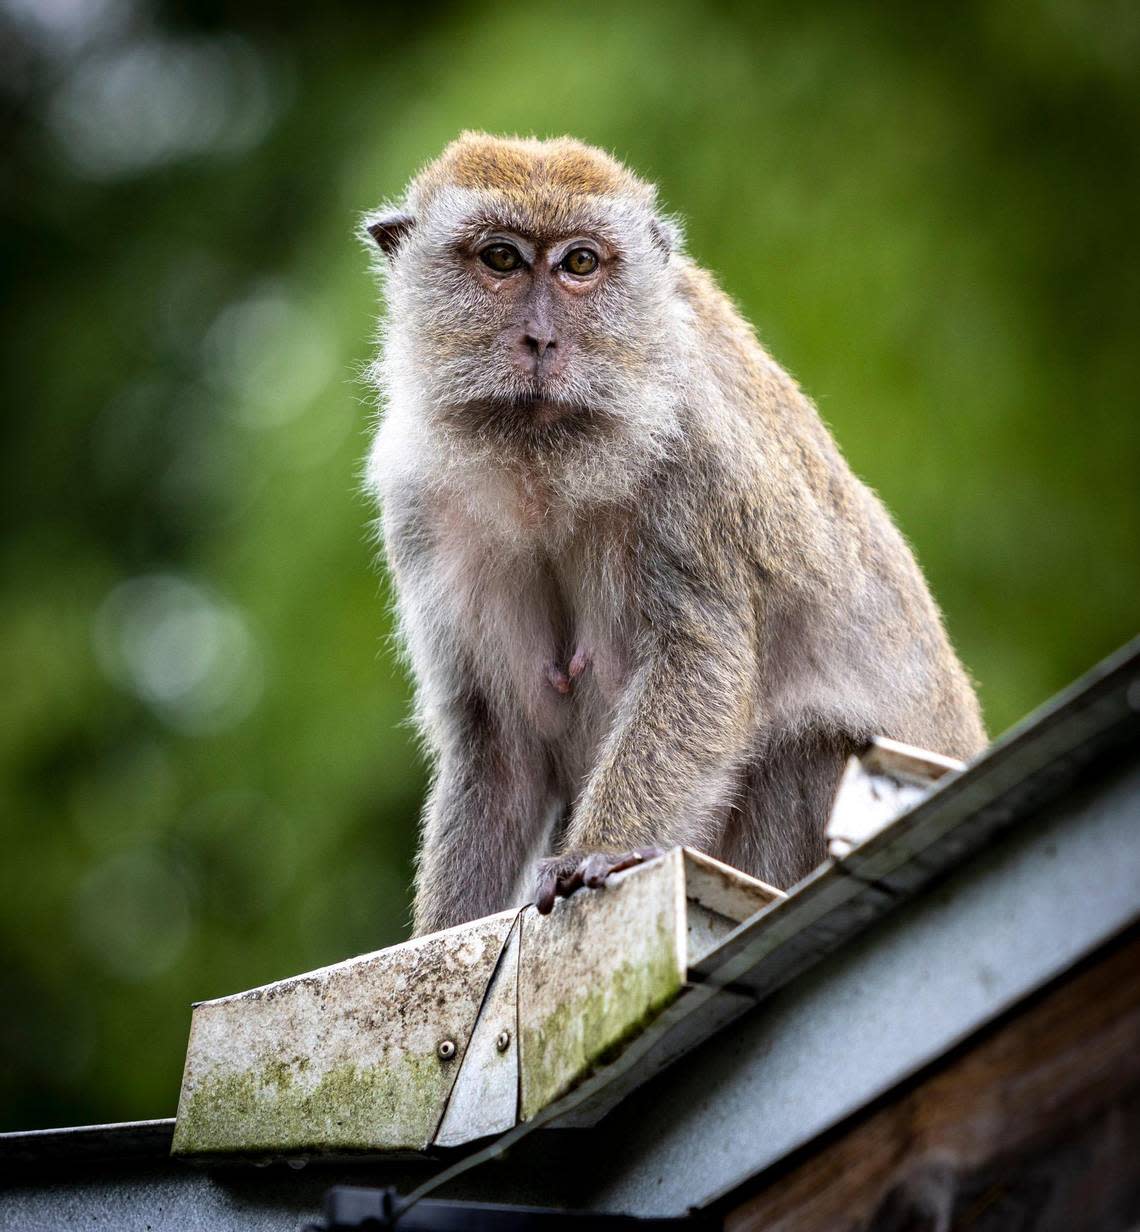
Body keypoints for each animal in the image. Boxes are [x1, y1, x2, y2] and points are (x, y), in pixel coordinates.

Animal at [359, 132, 981, 931]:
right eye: (500, 258)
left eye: (579, 264)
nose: (540, 338)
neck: (544, 467)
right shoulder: (418, 508)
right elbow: (496, 743)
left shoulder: (696, 457)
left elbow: (700, 663)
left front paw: (597, 853)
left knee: (809, 750)